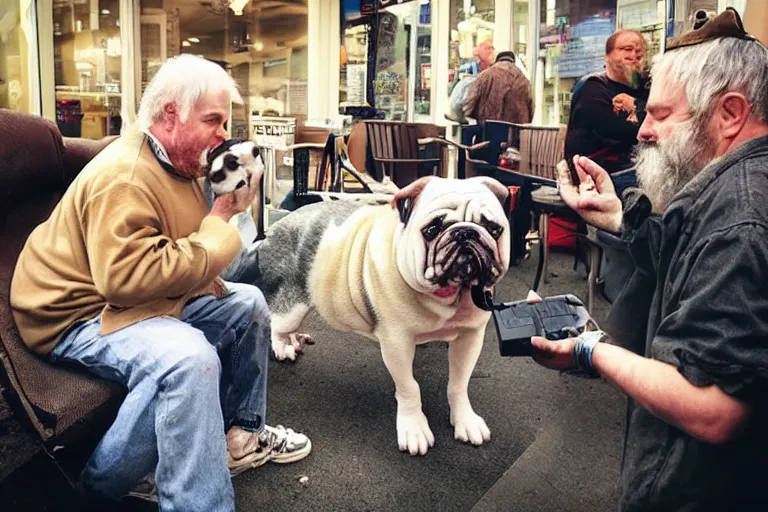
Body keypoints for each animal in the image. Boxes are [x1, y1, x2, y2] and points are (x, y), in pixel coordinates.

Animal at [236, 176, 510, 456]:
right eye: (432, 230)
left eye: (493, 228)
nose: (465, 233)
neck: (448, 296)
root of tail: (272, 230)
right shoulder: (397, 345)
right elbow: (410, 388)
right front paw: (414, 429)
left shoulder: (470, 338)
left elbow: (459, 384)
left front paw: (465, 420)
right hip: (292, 304)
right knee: (276, 322)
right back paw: (282, 347)